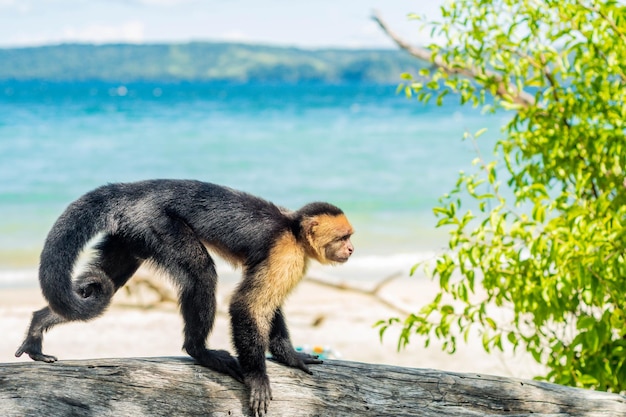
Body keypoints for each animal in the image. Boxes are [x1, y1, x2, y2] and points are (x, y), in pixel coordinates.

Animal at [14, 179, 354, 416]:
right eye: (344, 237)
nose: (351, 249)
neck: (292, 228)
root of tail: (135, 190)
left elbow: (269, 307)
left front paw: (290, 356)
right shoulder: (286, 253)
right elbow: (248, 305)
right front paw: (258, 376)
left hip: (131, 230)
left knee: (104, 280)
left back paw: (39, 324)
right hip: (156, 223)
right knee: (200, 273)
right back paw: (199, 350)